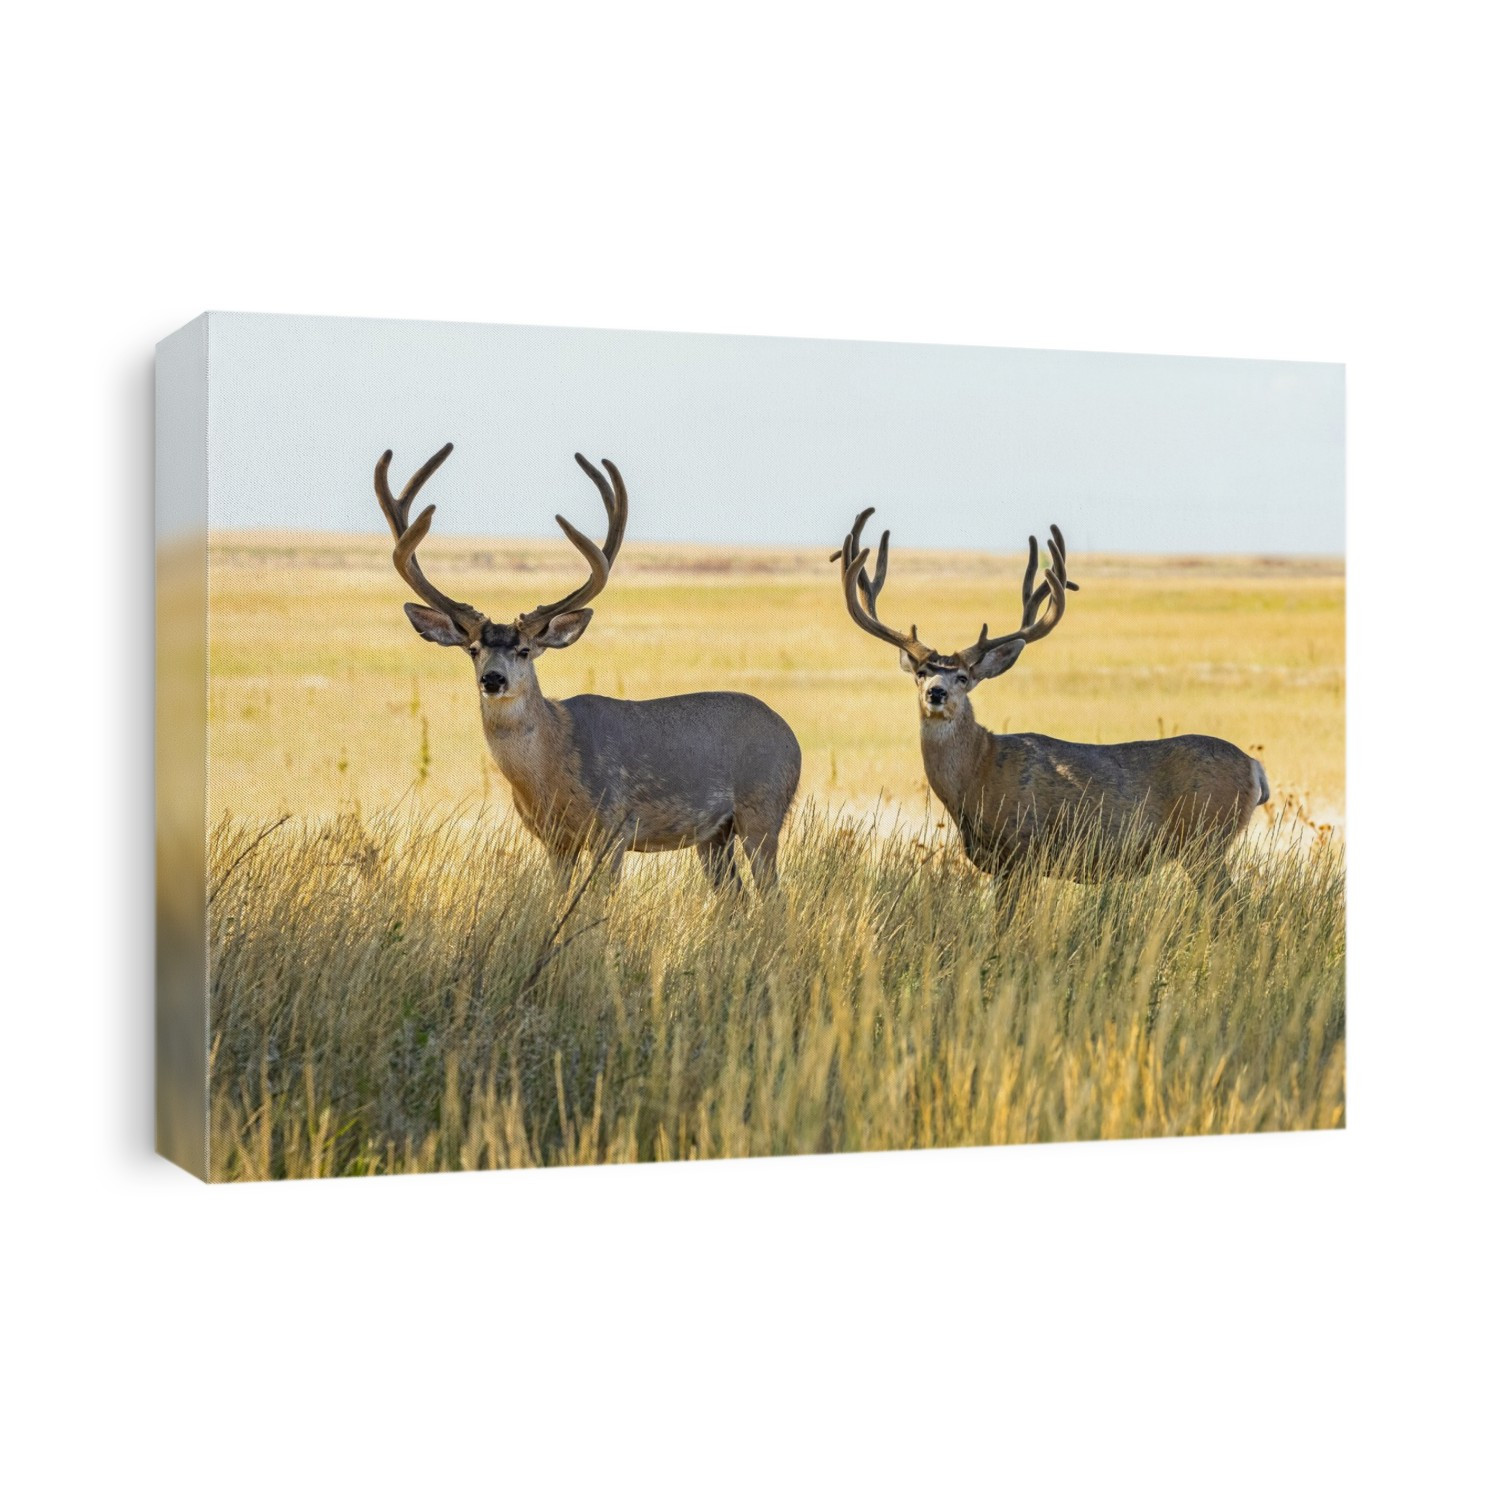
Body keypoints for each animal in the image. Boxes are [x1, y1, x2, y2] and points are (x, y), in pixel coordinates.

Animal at [376, 444, 801, 892]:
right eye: (473, 648)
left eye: (525, 649)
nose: (493, 679)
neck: (552, 765)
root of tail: (792, 737)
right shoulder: (554, 840)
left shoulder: (614, 827)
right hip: (714, 834)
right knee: (736, 896)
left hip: (763, 808)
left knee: (773, 894)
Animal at [832, 508, 1270, 902]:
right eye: (921, 673)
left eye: (964, 678)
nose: (936, 693)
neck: (978, 773)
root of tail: (1254, 767)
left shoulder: (1024, 850)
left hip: (1205, 839)